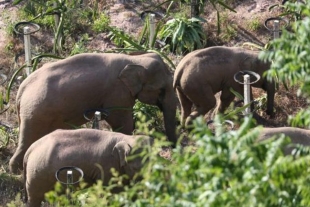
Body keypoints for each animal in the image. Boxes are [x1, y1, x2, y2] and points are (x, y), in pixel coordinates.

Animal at [9, 51, 177, 173]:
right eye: (161, 90)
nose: (173, 153)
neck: (135, 59)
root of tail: (21, 90)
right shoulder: (118, 93)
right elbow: (123, 123)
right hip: (35, 112)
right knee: (28, 138)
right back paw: (16, 170)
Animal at [23, 129, 151, 206]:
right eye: (135, 168)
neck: (127, 137)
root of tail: (30, 149)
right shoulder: (107, 167)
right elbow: (111, 191)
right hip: (37, 173)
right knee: (35, 197)